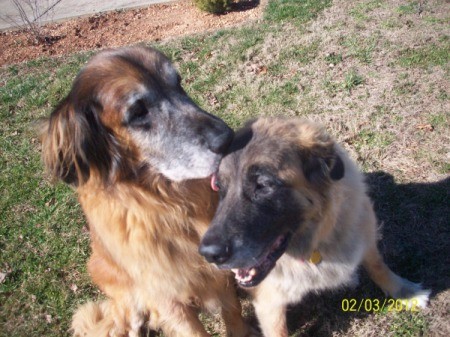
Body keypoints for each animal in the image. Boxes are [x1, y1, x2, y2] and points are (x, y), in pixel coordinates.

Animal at [40, 46, 253, 336]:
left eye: (178, 83)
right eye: (138, 112)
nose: (229, 139)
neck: (170, 204)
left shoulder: (221, 278)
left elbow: (233, 313)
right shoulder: (169, 299)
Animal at [200, 117, 428, 336]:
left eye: (263, 185)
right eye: (219, 187)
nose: (209, 254)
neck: (313, 246)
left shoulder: (363, 235)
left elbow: (377, 265)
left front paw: (405, 291)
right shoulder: (269, 306)